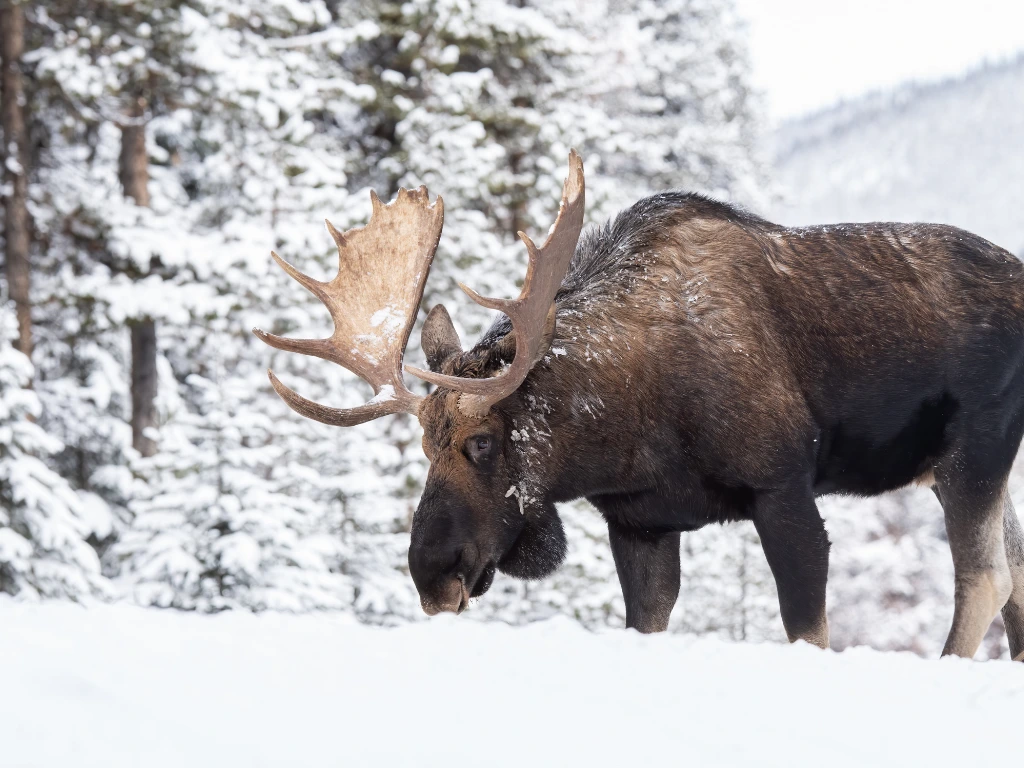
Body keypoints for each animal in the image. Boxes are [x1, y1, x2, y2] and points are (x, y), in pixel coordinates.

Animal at [256, 151, 1024, 663]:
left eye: (483, 442)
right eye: (423, 446)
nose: (432, 572)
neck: (624, 432)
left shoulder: (782, 485)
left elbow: (808, 630)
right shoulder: (640, 523)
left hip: (976, 446)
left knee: (986, 580)